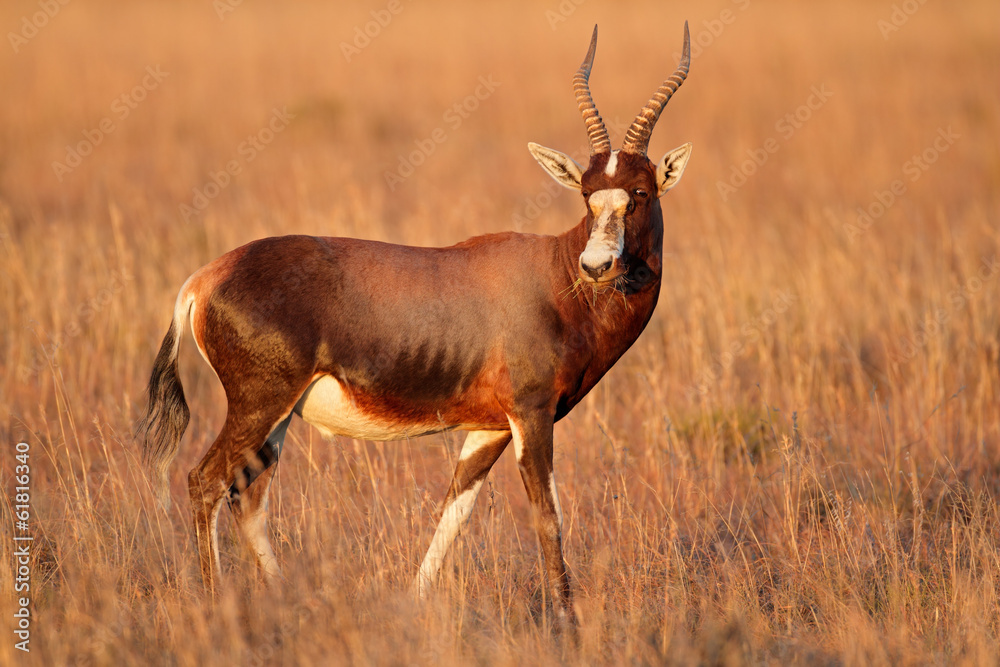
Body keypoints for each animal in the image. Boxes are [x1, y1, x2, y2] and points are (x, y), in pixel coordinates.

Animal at [137, 23, 692, 625]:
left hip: (276, 418)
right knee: (205, 482)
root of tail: (202, 280)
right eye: (587, 194)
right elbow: (548, 516)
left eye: (639, 192)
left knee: (249, 498)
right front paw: (567, 622)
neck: (553, 272)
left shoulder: (490, 428)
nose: (597, 266)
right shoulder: (532, 414)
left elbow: (453, 512)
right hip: (258, 405)